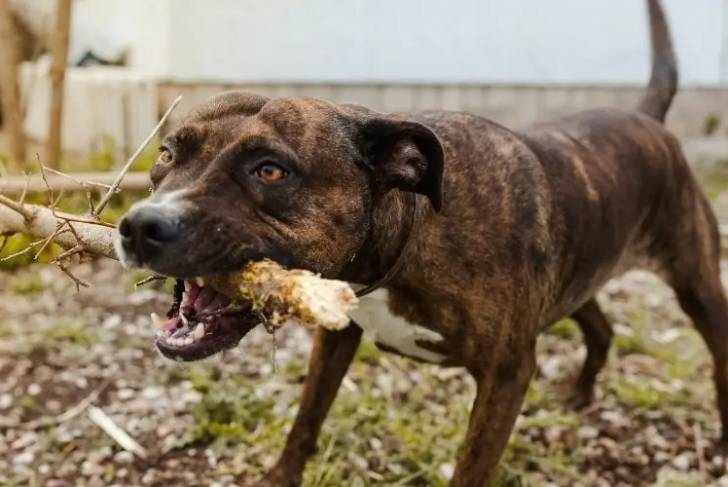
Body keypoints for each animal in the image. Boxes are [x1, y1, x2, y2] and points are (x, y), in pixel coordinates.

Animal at [116, 1, 724, 486]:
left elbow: (471, 468)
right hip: (578, 273)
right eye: (167, 153)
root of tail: (647, 119)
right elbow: (306, 420)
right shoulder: (335, 340)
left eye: (270, 170)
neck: (408, 232)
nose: (140, 226)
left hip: (697, 284)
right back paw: (581, 392)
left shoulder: (506, 376)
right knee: (600, 325)